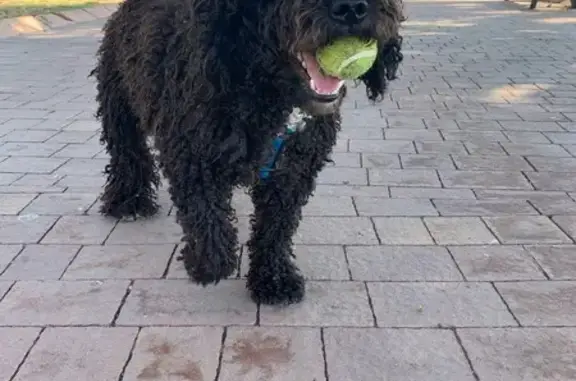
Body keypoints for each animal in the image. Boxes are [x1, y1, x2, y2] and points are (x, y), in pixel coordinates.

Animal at [91, 0, 404, 304]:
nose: (351, 9)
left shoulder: (294, 168)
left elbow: (277, 225)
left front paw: (274, 279)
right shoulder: (190, 149)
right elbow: (205, 212)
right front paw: (204, 262)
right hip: (118, 104)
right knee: (128, 154)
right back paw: (128, 202)